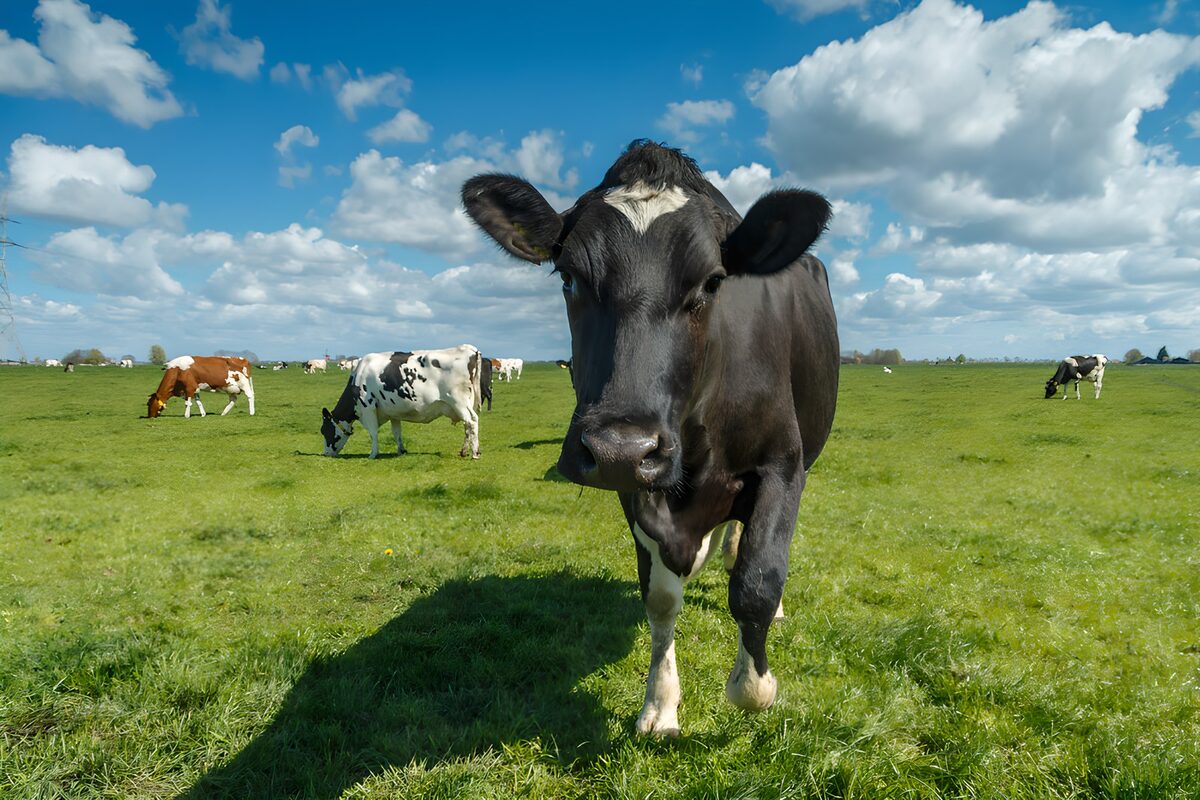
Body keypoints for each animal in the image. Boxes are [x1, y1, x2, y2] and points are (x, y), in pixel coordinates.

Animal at [321, 345, 482, 459]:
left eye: (324, 430)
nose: (325, 453)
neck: (359, 375)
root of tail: (469, 349)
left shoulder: (368, 407)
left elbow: (373, 432)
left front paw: (373, 454)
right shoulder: (393, 412)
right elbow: (396, 432)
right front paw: (401, 450)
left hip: (458, 401)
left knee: (471, 422)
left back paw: (474, 454)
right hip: (466, 403)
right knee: (470, 423)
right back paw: (465, 451)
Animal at [463, 139, 839, 736]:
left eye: (713, 281)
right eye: (569, 278)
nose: (622, 447)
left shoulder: (783, 462)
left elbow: (757, 584)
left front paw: (755, 684)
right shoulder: (634, 489)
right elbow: (661, 598)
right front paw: (660, 704)